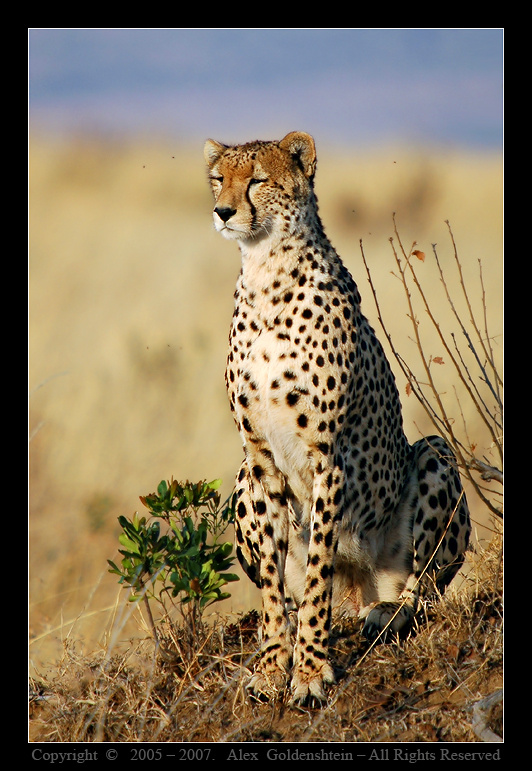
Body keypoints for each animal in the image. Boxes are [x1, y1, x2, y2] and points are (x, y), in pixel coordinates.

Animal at [204, 131, 471, 706]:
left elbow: (319, 573)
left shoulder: (327, 459)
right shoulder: (260, 460)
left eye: (257, 179)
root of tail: (364, 588)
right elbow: (275, 585)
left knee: (424, 588)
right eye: (219, 179)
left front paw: (308, 670)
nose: (223, 211)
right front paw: (273, 663)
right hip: (239, 477)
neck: (266, 275)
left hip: (434, 456)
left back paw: (388, 612)